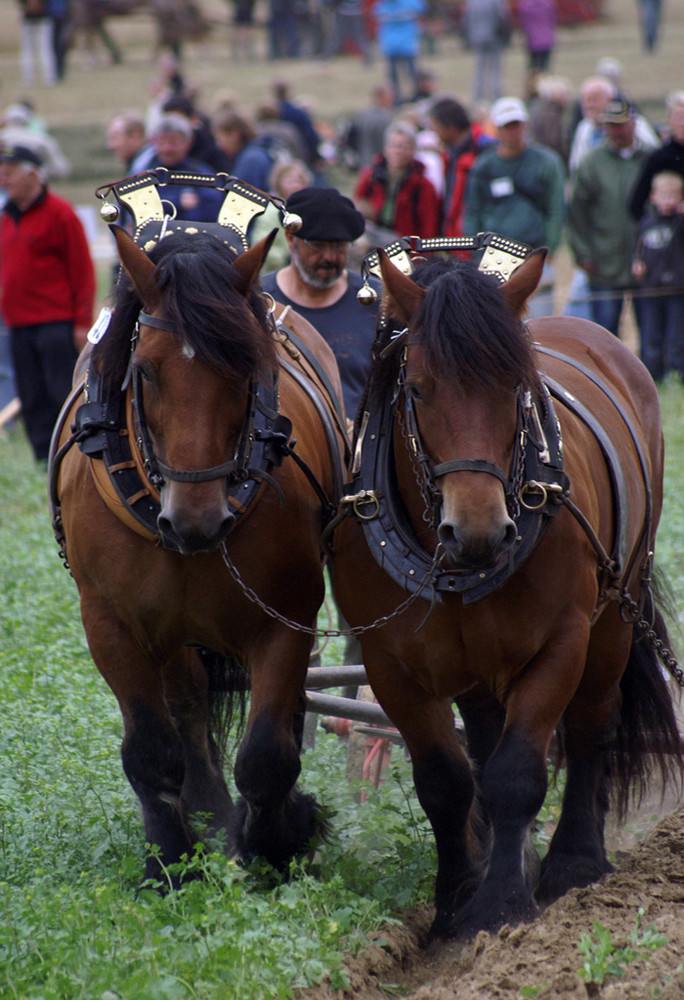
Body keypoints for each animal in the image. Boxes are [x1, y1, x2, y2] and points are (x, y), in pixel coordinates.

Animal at [50, 229, 348, 884]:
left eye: (247, 368)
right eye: (144, 370)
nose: (197, 521)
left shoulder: (287, 618)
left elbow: (267, 750)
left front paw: (278, 842)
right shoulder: (109, 623)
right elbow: (150, 749)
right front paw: (171, 862)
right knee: (187, 702)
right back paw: (206, 815)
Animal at [332, 248, 684, 936]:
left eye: (514, 386)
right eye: (418, 388)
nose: (479, 531)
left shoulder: (560, 644)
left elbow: (518, 772)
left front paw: (502, 905)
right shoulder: (391, 666)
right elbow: (446, 780)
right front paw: (456, 899)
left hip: (614, 615)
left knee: (593, 726)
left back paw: (576, 860)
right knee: (483, 739)